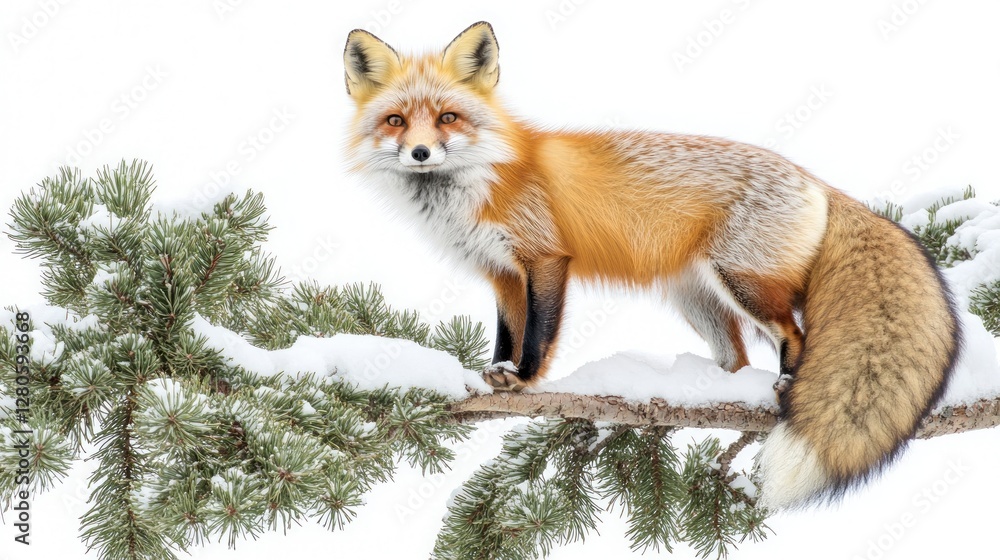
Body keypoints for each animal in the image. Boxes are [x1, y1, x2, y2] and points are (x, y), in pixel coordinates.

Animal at [342, 22, 960, 510]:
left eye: (448, 117)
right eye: (396, 121)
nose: (421, 153)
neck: (483, 180)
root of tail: (816, 180)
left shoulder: (545, 257)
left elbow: (538, 335)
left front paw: (525, 380)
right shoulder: (500, 273)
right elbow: (506, 335)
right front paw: (495, 375)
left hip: (743, 283)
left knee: (795, 333)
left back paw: (785, 381)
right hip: (700, 302)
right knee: (737, 360)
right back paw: (704, 397)